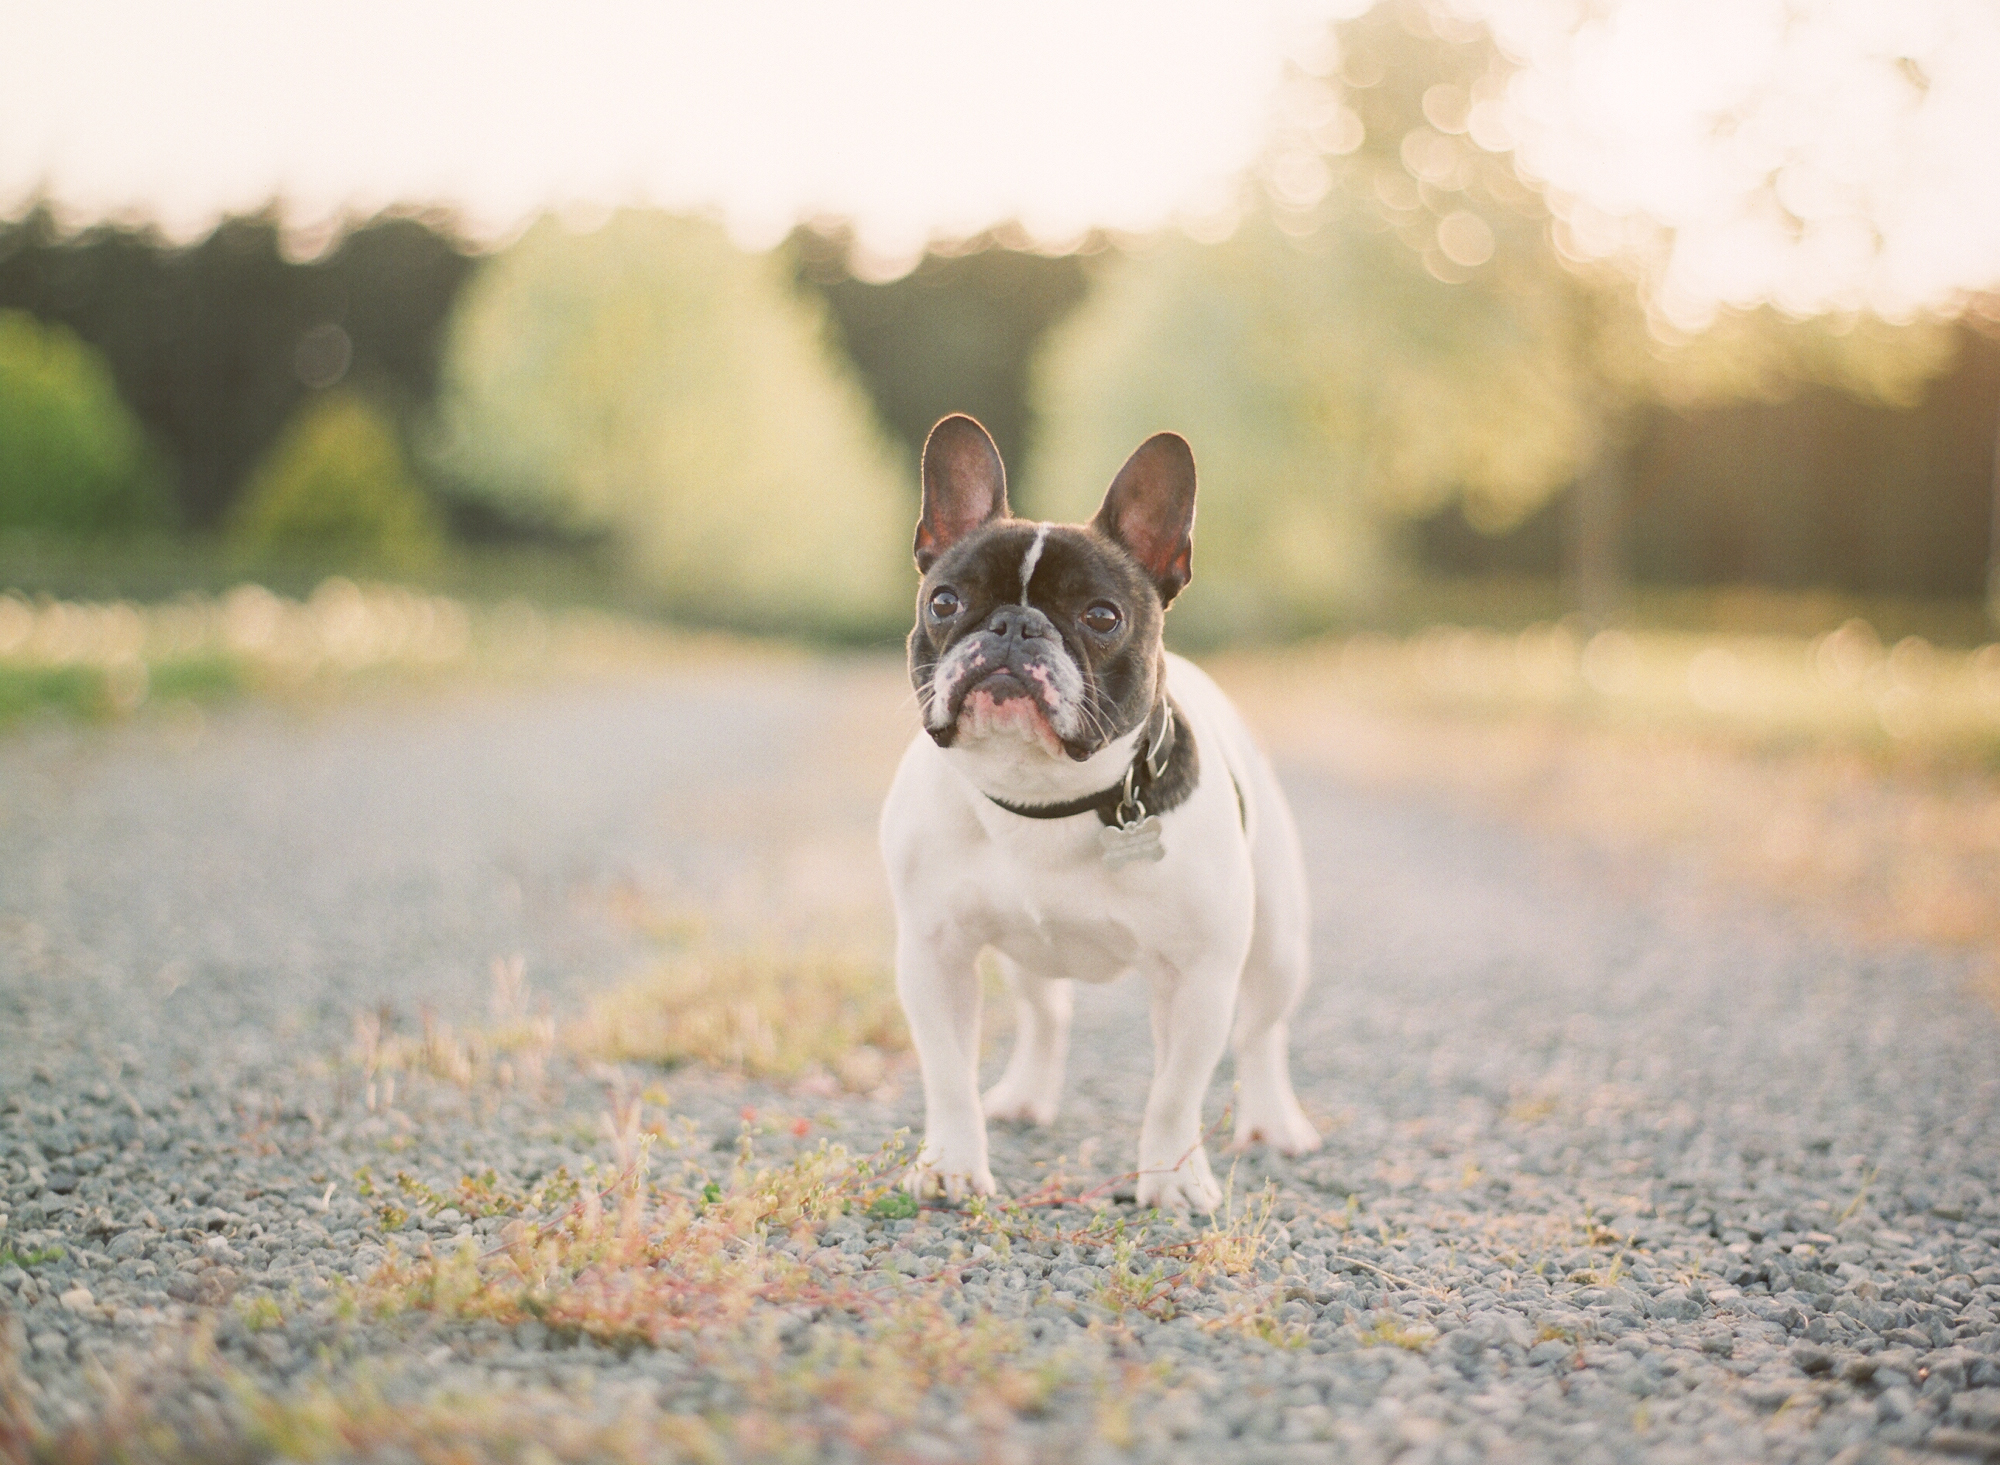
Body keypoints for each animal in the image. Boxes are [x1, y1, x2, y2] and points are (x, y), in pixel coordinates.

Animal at [872, 414, 1312, 1216]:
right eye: (944, 601)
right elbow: (948, 1074)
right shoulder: (934, 954)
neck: (1044, 798)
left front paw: (1171, 1178)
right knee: (1048, 1017)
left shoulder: (1198, 974)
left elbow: (1175, 1090)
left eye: (1101, 615)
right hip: (1023, 957)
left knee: (1263, 1031)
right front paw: (952, 1164)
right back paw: (1023, 1095)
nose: (1013, 627)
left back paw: (1274, 1123)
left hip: (1276, 943)